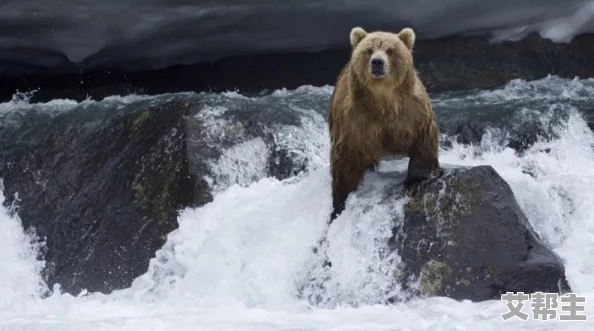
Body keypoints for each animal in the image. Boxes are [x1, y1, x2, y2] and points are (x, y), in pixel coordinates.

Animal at [328, 26, 440, 223]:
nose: (377, 62)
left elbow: (423, 142)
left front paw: (417, 180)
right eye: (369, 50)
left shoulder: (413, 113)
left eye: (390, 50)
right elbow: (345, 161)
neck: (383, 103)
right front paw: (340, 201)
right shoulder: (354, 122)